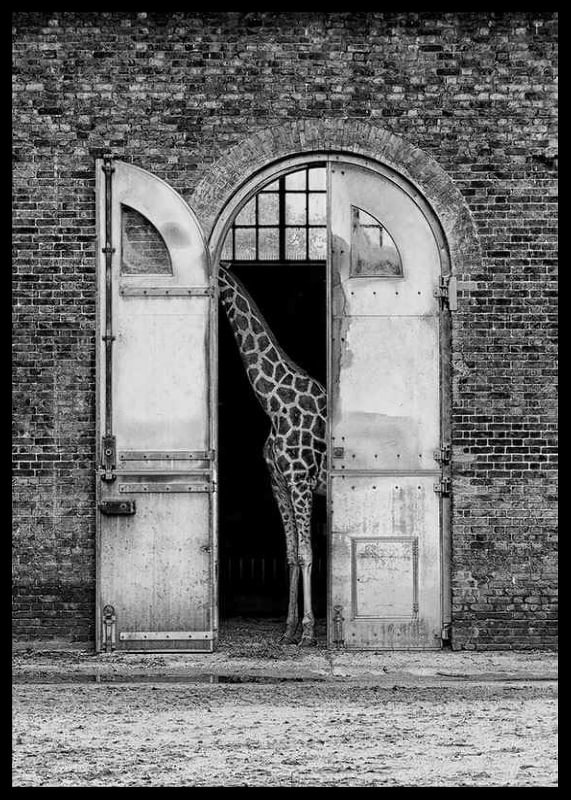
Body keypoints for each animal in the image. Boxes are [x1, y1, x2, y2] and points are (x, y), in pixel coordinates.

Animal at [218, 263, 327, 646]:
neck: (275, 404)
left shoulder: (300, 481)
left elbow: (308, 554)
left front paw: (308, 632)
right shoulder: (278, 483)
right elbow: (291, 554)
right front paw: (289, 628)